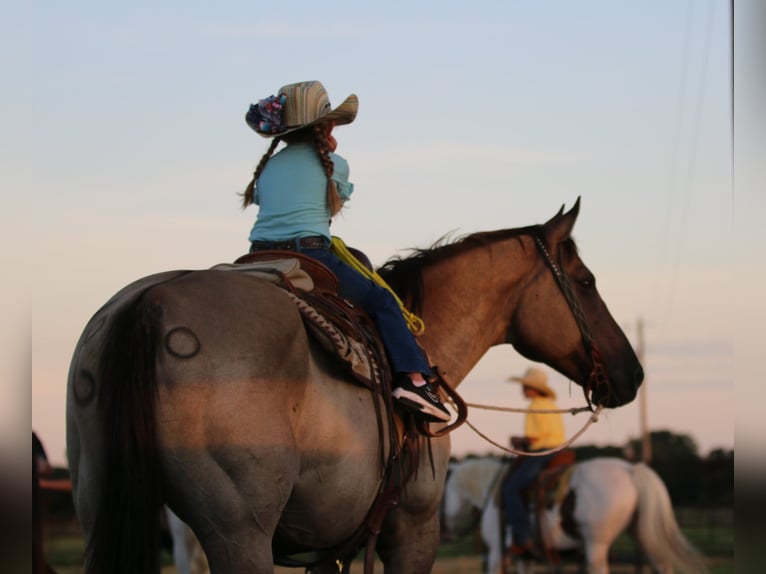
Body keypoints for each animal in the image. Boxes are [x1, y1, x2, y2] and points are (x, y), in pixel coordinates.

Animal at [65, 198, 644, 574]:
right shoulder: (413, 528)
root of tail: (151, 302)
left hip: (100, 510)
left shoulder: (329, 547)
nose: (632, 373)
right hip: (236, 531)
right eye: (586, 281)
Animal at [441, 456, 707, 574]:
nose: (445, 532)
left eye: (444, 492)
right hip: (642, 535)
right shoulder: (522, 556)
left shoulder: (498, 551)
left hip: (596, 544)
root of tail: (630, 469)